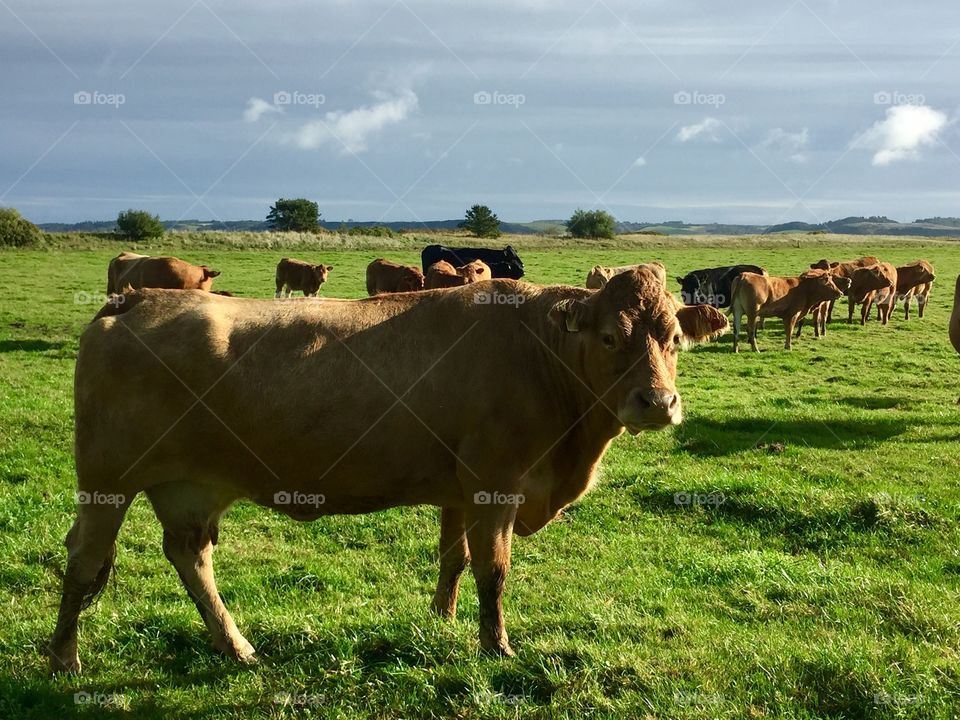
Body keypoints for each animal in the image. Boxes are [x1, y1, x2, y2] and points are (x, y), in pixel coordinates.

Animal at [49, 267, 728, 672]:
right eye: (610, 337)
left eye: (673, 336)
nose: (658, 403)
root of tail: (134, 298)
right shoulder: (495, 483)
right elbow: (494, 571)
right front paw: (496, 645)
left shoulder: (459, 487)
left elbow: (454, 559)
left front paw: (442, 621)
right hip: (106, 483)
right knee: (83, 560)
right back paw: (63, 659)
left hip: (187, 488)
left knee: (190, 557)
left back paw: (236, 647)